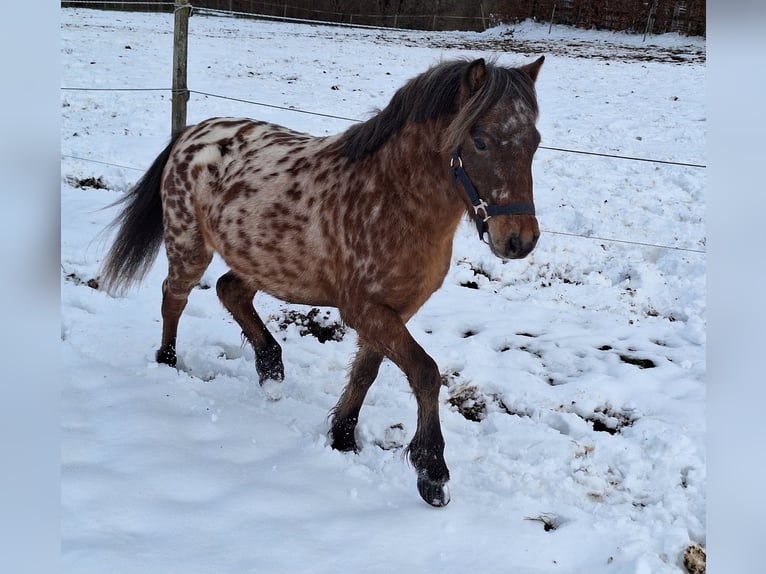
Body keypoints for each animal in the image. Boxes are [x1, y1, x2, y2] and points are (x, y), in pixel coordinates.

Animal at [102, 57, 544, 508]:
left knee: (230, 290)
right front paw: (432, 472)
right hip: (189, 246)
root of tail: (193, 133)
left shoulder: (392, 311)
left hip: (259, 259)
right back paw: (169, 362)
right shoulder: (364, 310)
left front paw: (343, 437)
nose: (519, 240)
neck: (390, 197)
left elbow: (366, 373)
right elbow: (425, 373)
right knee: (174, 298)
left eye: (535, 142)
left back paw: (271, 369)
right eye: (480, 141)